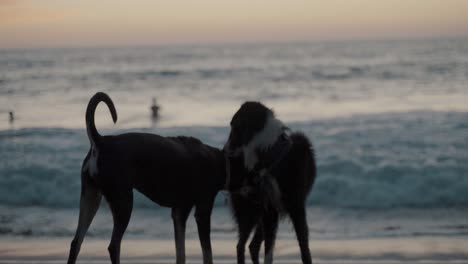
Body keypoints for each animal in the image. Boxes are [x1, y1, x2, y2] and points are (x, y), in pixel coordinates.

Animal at [67, 93, 225, 264]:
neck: (220, 161)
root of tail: (101, 142)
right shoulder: (202, 209)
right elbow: (207, 253)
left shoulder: (179, 212)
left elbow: (181, 253)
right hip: (123, 201)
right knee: (113, 246)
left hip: (90, 196)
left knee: (76, 242)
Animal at [224, 101, 318, 264]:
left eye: (234, 127)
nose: (224, 151)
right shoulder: (270, 209)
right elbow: (269, 252)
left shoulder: (295, 207)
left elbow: (304, 248)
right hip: (250, 212)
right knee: (241, 245)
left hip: (260, 213)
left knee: (252, 245)